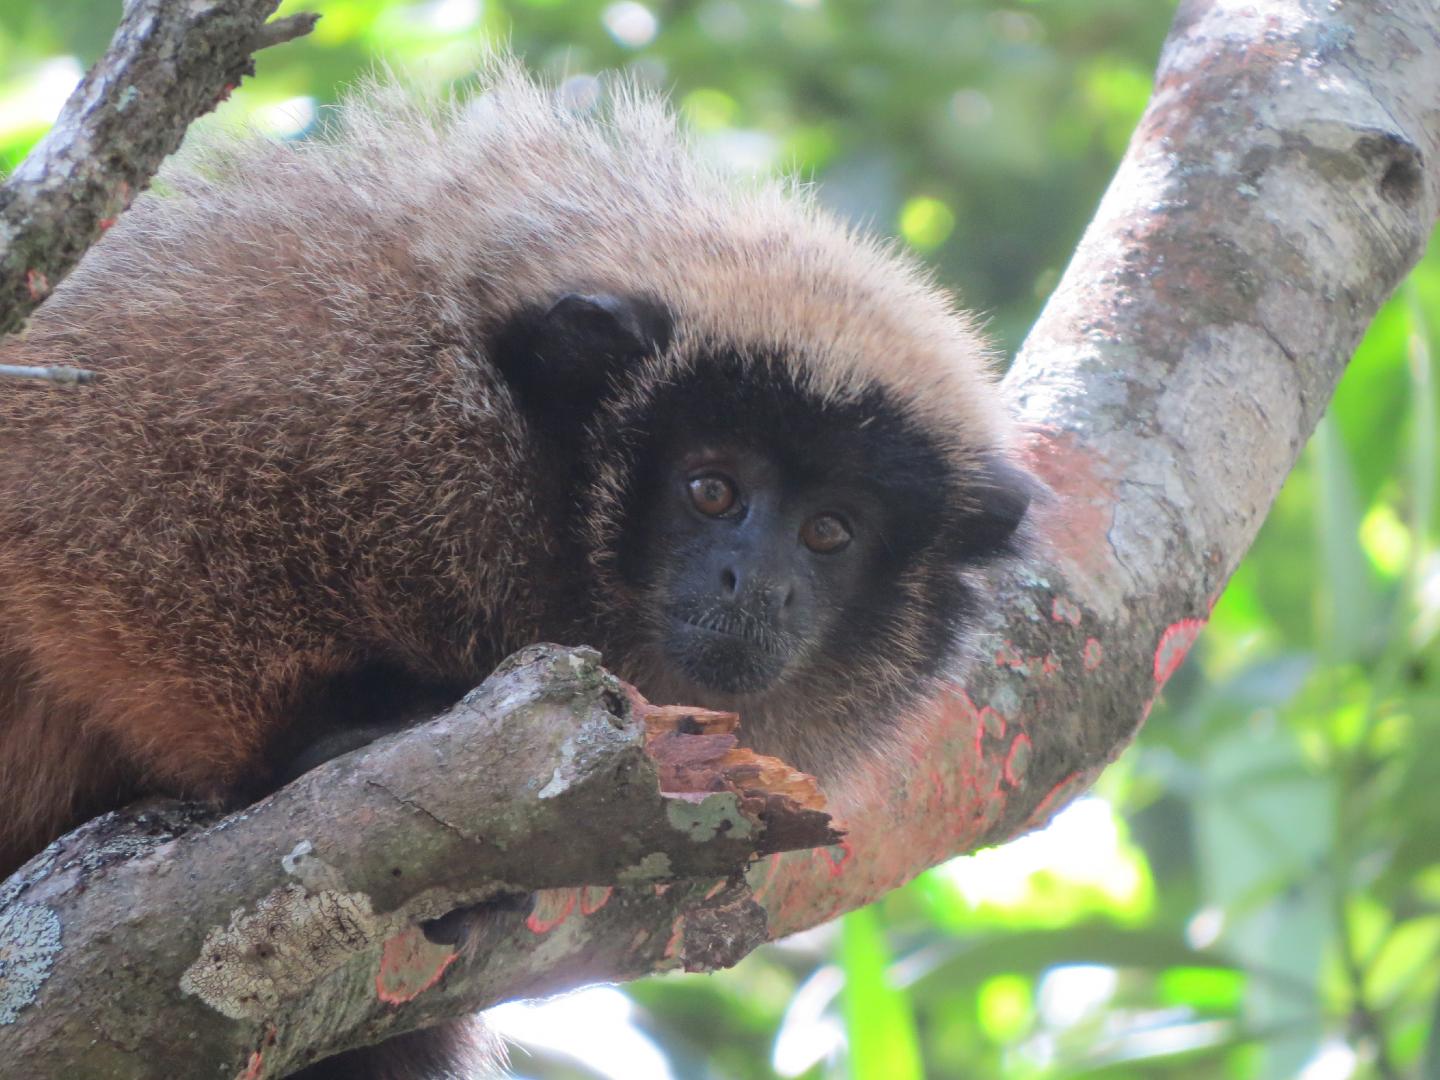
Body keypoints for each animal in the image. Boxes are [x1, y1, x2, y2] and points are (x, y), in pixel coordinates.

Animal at [0, 61, 1035, 1078]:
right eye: (711, 489)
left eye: (828, 532)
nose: (759, 584)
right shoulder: (311, 361)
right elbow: (81, 513)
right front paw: (310, 741)